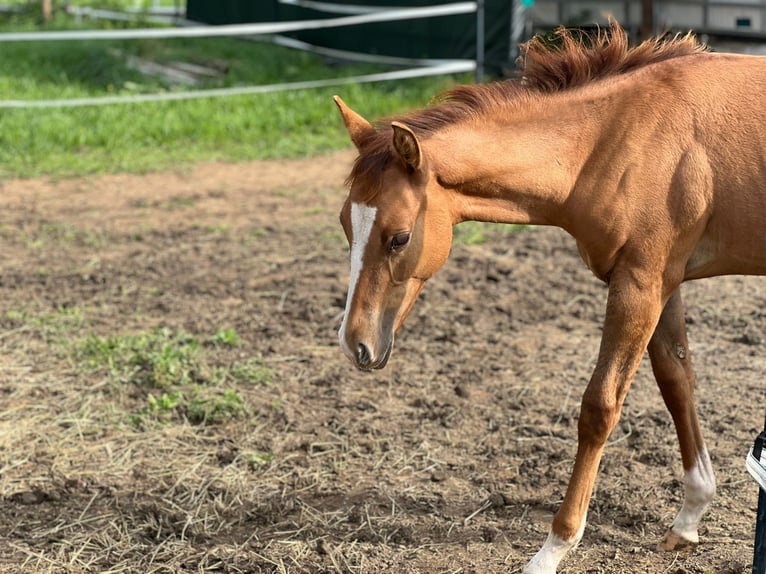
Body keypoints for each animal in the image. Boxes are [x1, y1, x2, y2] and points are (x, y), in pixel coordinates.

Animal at [332, 21, 766, 574]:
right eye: (346, 225)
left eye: (399, 238)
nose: (355, 345)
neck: (617, 139)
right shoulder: (662, 283)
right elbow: (677, 382)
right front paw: (690, 516)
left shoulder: (638, 285)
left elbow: (599, 407)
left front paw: (552, 548)